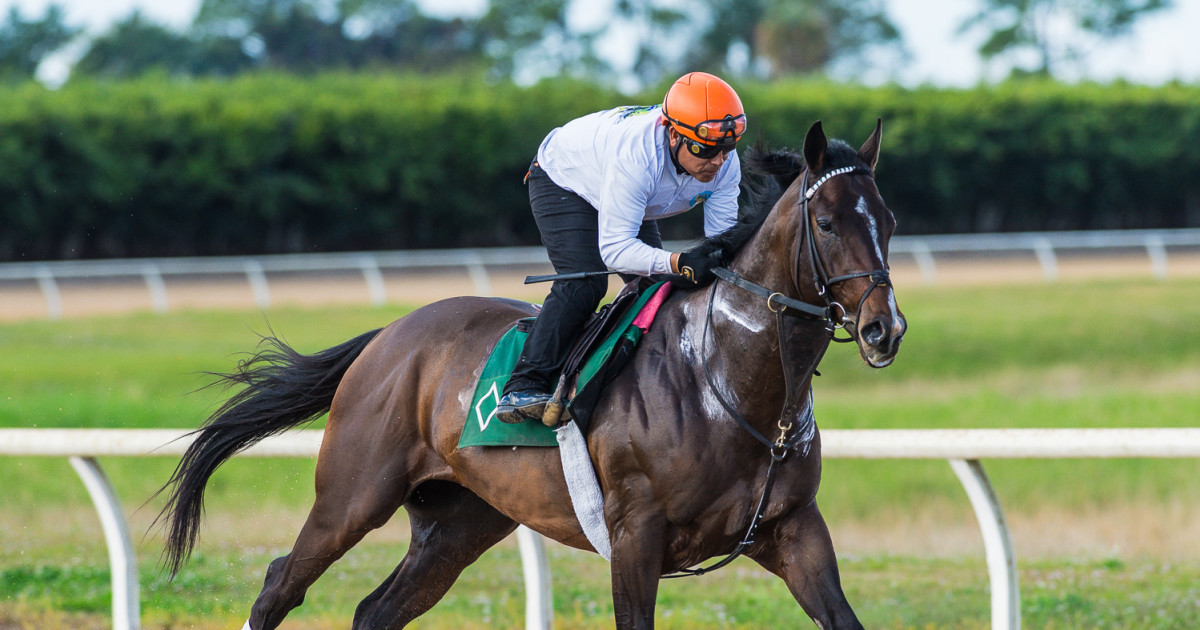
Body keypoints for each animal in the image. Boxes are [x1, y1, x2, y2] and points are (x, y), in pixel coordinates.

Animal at [157, 119, 906, 630]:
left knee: (376, 610)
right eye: (826, 222)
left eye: (890, 220)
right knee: (281, 584)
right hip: (352, 494)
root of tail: (390, 336)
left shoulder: (794, 530)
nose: (884, 328)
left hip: (458, 522)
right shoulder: (636, 536)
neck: (728, 381)